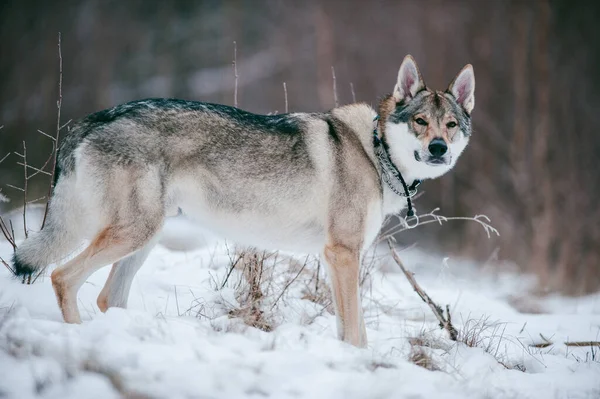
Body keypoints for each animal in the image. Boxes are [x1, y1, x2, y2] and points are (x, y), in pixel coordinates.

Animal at [11, 54, 476, 348]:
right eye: (420, 121)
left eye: (451, 125)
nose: (438, 148)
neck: (376, 151)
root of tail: (89, 120)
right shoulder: (342, 254)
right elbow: (354, 333)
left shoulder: (338, 257)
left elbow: (352, 327)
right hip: (131, 233)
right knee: (62, 277)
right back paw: (77, 335)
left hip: (144, 238)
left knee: (107, 297)